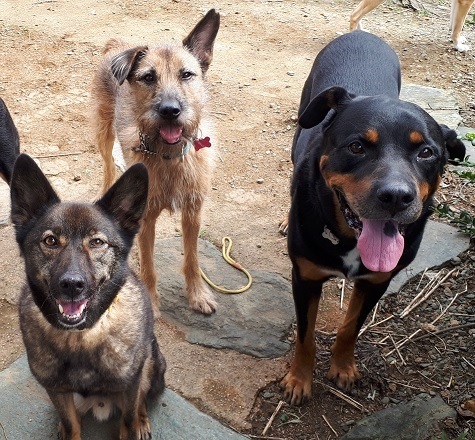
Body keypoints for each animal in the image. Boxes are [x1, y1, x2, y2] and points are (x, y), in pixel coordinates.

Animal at [11, 154, 166, 440]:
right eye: (50, 241)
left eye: (96, 242)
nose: (72, 285)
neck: (80, 337)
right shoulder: (57, 390)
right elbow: (72, 424)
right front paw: (68, 428)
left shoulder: (130, 384)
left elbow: (128, 418)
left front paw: (134, 424)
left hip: (153, 365)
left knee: (141, 399)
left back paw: (141, 420)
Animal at [91, 9, 220, 317]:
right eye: (149, 77)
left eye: (186, 74)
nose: (170, 111)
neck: (169, 156)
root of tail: (117, 43)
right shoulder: (146, 219)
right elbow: (148, 265)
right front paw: (151, 301)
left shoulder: (193, 212)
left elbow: (192, 258)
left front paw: (198, 294)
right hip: (103, 132)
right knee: (107, 166)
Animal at [280, 30, 466, 406]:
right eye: (356, 146)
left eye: (427, 152)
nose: (396, 196)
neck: (349, 240)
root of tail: (360, 33)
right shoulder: (305, 277)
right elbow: (305, 335)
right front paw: (299, 380)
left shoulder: (377, 282)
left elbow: (351, 327)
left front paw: (343, 367)